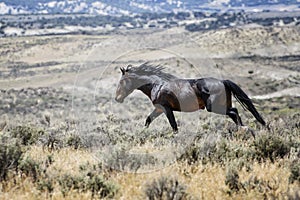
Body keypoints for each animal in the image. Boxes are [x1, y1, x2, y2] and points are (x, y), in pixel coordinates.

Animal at [115, 63, 264, 132]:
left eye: (122, 81)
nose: (117, 98)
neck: (156, 86)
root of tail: (223, 81)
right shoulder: (159, 109)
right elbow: (148, 120)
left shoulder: (166, 108)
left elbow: (174, 125)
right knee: (234, 113)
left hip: (214, 107)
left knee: (234, 112)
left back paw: (245, 129)